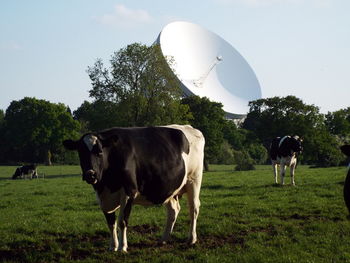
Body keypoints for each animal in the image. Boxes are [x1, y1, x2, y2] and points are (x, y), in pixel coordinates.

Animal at [63, 125, 205, 253]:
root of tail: (190, 128)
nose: (90, 174)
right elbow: (110, 222)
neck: (106, 184)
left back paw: (191, 239)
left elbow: (122, 221)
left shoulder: (129, 191)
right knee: (173, 210)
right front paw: (113, 246)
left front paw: (122, 247)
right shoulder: (102, 197)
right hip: (170, 188)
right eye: (81, 152)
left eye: (100, 152)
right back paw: (163, 239)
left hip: (194, 179)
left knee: (194, 208)